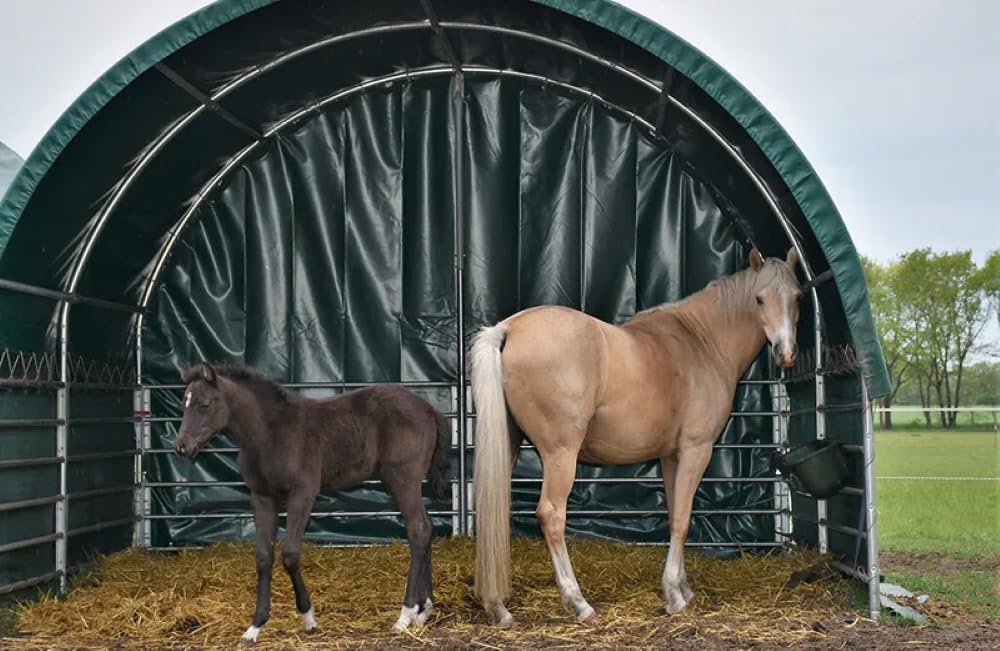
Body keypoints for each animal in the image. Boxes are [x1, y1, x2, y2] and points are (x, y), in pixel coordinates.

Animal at [174, 363, 451, 644]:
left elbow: (289, 553)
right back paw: (424, 610)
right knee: (427, 527)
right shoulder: (262, 497)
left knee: (418, 530)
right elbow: (263, 556)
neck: (268, 433)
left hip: (402, 478)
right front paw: (254, 627)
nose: (181, 447)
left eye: (205, 404)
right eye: (183, 403)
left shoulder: (302, 493)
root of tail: (428, 408)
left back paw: (405, 615)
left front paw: (308, 617)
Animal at [471, 248, 802, 627]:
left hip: (509, 445)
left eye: (798, 297)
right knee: (551, 515)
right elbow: (682, 520)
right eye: (759, 298)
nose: (785, 353)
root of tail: (508, 328)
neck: (701, 342)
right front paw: (674, 595)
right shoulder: (696, 451)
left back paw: (498, 608)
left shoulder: (671, 457)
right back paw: (578, 602)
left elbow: (675, 512)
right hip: (560, 455)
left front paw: (683, 587)